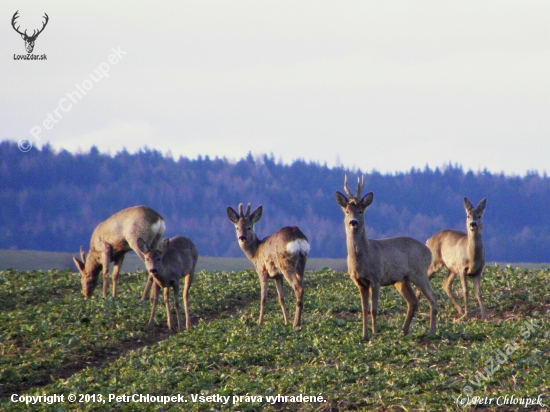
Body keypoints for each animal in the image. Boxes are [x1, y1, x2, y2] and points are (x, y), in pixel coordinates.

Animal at [336, 175, 440, 340]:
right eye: (347, 211)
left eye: (360, 211)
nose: (353, 222)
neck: (363, 258)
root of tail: (428, 250)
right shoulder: (359, 282)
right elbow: (364, 310)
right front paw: (364, 336)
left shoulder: (376, 278)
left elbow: (374, 309)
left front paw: (375, 333)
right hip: (402, 280)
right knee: (413, 301)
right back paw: (403, 331)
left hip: (419, 273)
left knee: (433, 298)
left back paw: (431, 333)